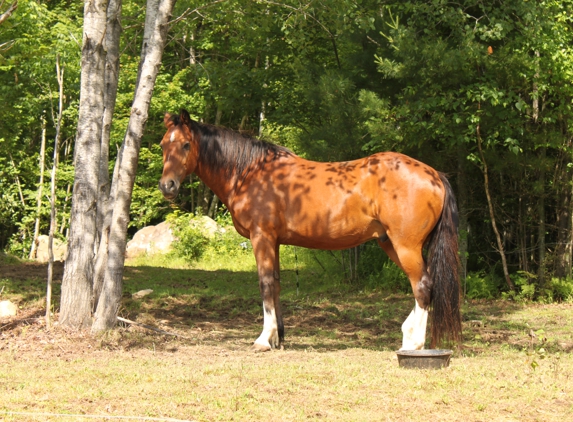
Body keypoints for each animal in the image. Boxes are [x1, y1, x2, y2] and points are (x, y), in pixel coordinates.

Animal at [158, 110, 460, 352]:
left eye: (186, 144)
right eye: (163, 144)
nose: (167, 186)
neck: (249, 172)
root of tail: (434, 175)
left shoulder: (261, 237)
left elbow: (265, 284)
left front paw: (263, 339)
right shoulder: (274, 241)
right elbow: (276, 284)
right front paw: (278, 339)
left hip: (405, 245)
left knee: (422, 286)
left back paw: (414, 343)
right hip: (391, 243)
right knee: (422, 284)